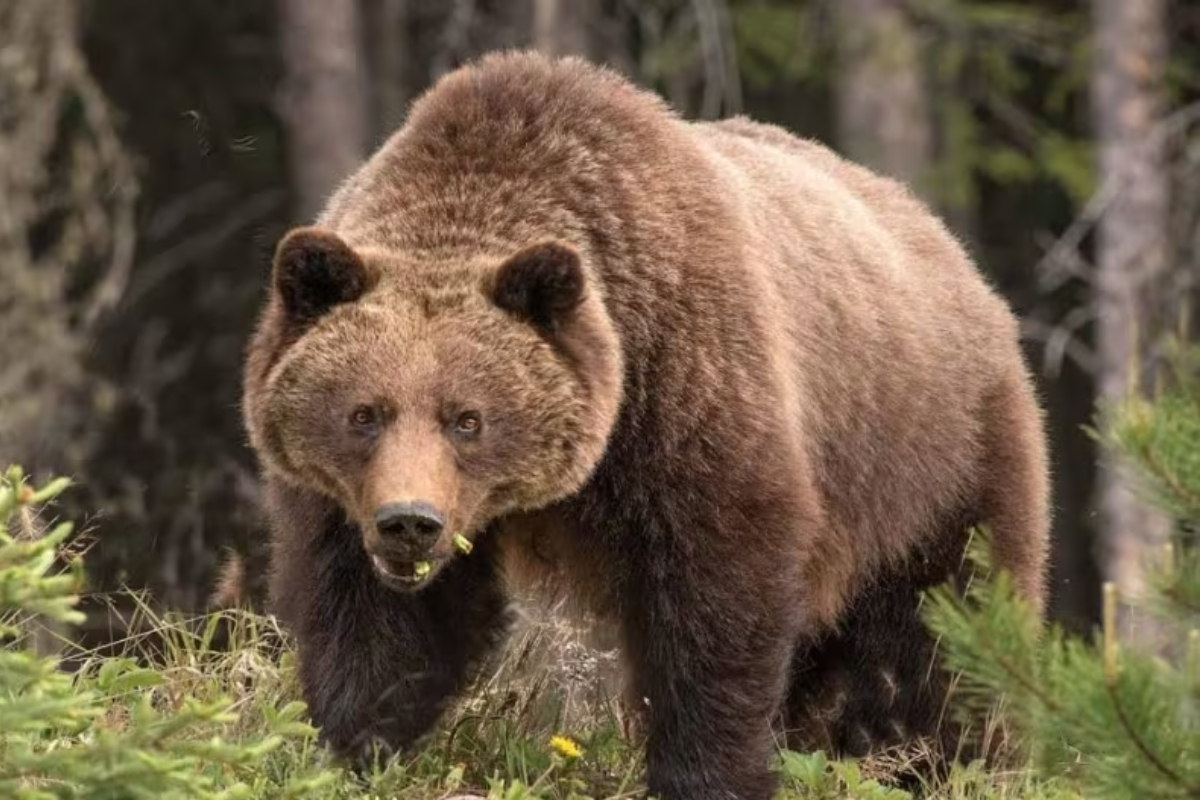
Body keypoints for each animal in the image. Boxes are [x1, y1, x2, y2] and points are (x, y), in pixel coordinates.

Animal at [242, 51, 1051, 800]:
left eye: (467, 418)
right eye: (364, 413)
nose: (410, 522)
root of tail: (956, 256)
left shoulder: (685, 395)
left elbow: (714, 609)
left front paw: (707, 772)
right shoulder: (346, 506)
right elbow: (376, 625)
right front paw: (356, 748)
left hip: (932, 462)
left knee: (942, 638)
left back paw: (952, 763)